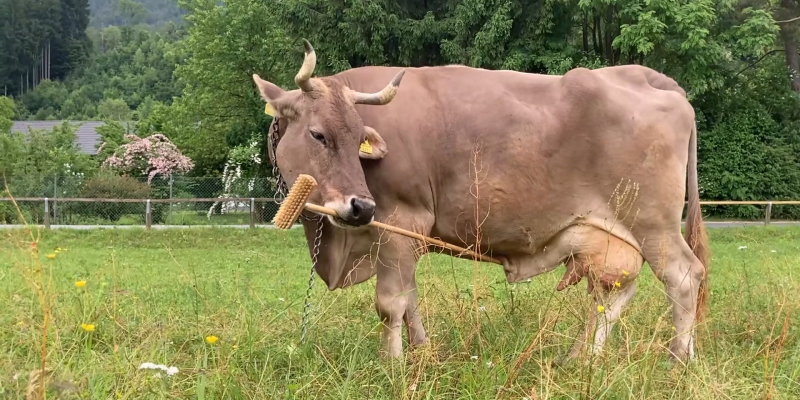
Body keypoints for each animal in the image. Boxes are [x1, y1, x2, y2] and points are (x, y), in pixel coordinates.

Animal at [252, 40, 710, 364]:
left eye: (356, 137)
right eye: (318, 134)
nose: (360, 207)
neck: (338, 247)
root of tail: (647, 76)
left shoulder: (403, 220)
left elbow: (391, 303)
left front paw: (391, 365)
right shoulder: (397, 233)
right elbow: (411, 298)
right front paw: (422, 352)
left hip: (653, 224)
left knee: (683, 277)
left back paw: (677, 360)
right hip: (614, 234)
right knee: (617, 291)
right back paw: (582, 357)